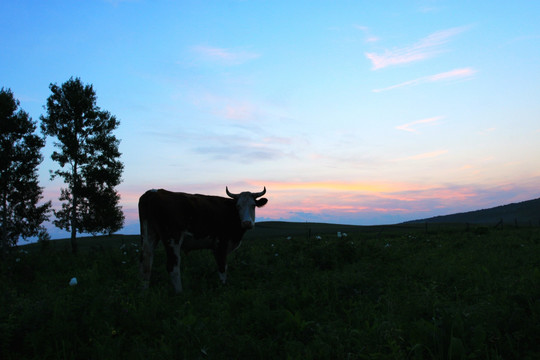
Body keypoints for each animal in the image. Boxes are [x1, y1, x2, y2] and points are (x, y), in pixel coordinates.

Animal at [138, 186, 266, 292]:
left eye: (253, 205)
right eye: (238, 206)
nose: (247, 223)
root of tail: (152, 192)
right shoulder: (221, 244)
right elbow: (222, 268)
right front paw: (223, 288)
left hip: (148, 235)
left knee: (146, 263)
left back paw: (144, 292)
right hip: (172, 238)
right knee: (172, 266)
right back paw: (180, 293)